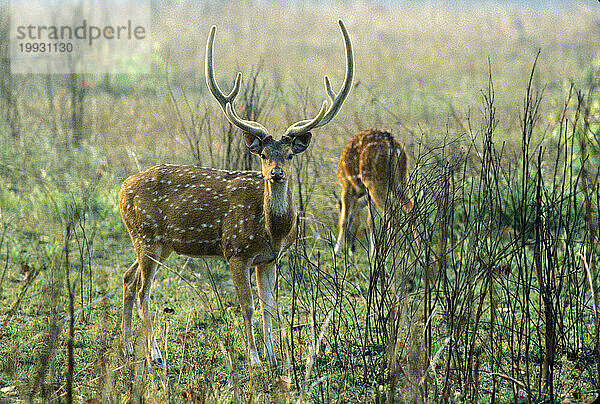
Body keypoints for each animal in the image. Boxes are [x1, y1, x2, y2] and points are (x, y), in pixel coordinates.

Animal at [120, 20, 354, 368]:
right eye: (263, 155)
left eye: (289, 154)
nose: (276, 174)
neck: (272, 230)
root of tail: (122, 189)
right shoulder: (235, 251)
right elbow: (248, 306)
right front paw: (255, 359)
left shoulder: (269, 259)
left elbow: (270, 306)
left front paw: (274, 357)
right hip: (145, 235)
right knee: (142, 289)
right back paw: (155, 353)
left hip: (159, 245)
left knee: (127, 277)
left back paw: (128, 348)